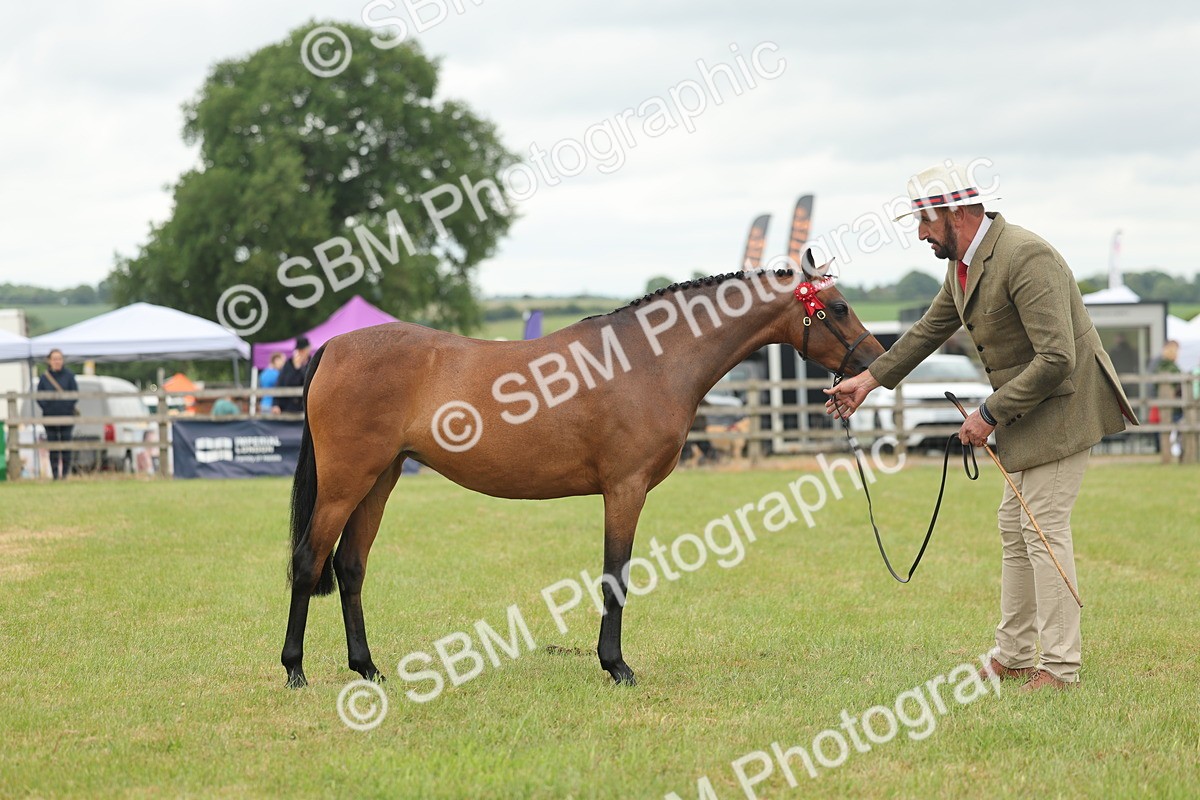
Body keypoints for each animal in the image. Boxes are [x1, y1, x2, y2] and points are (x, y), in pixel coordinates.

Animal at [281, 255, 884, 688]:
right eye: (838, 307)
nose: (874, 362)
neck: (648, 360)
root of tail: (333, 346)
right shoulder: (625, 489)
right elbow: (615, 575)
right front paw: (616, 666)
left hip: (379, 480)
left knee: (351, 567)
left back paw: (368, 668)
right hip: (345, 483)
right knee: (310, 561)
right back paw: (295, 670)